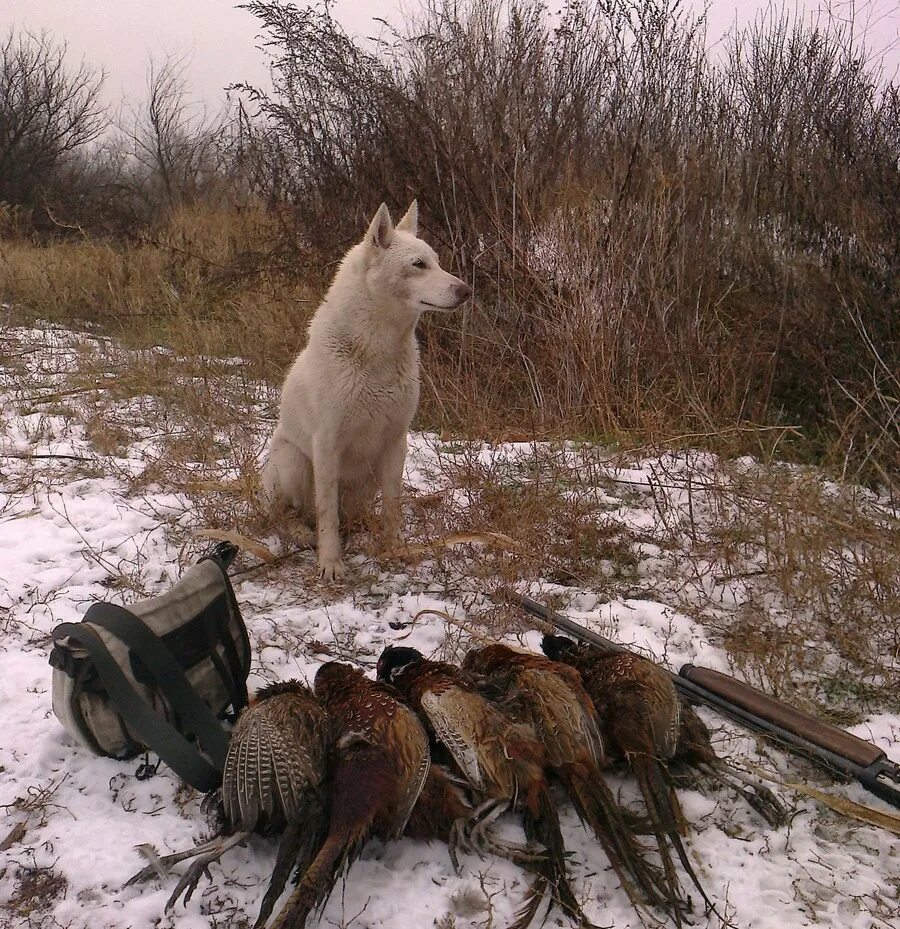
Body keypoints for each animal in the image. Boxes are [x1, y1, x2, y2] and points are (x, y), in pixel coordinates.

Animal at [260, 201, 472, 580]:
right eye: (418, 265)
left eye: (436, 261)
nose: (466, 290)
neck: (375, 353)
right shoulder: (326, 444)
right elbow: (327, 512)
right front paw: (331, 561)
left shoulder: (396, 442)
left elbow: (393, 506)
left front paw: (395, 548)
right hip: (294, 462)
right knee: (288, 516)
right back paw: (301, 532)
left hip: (368, 477)